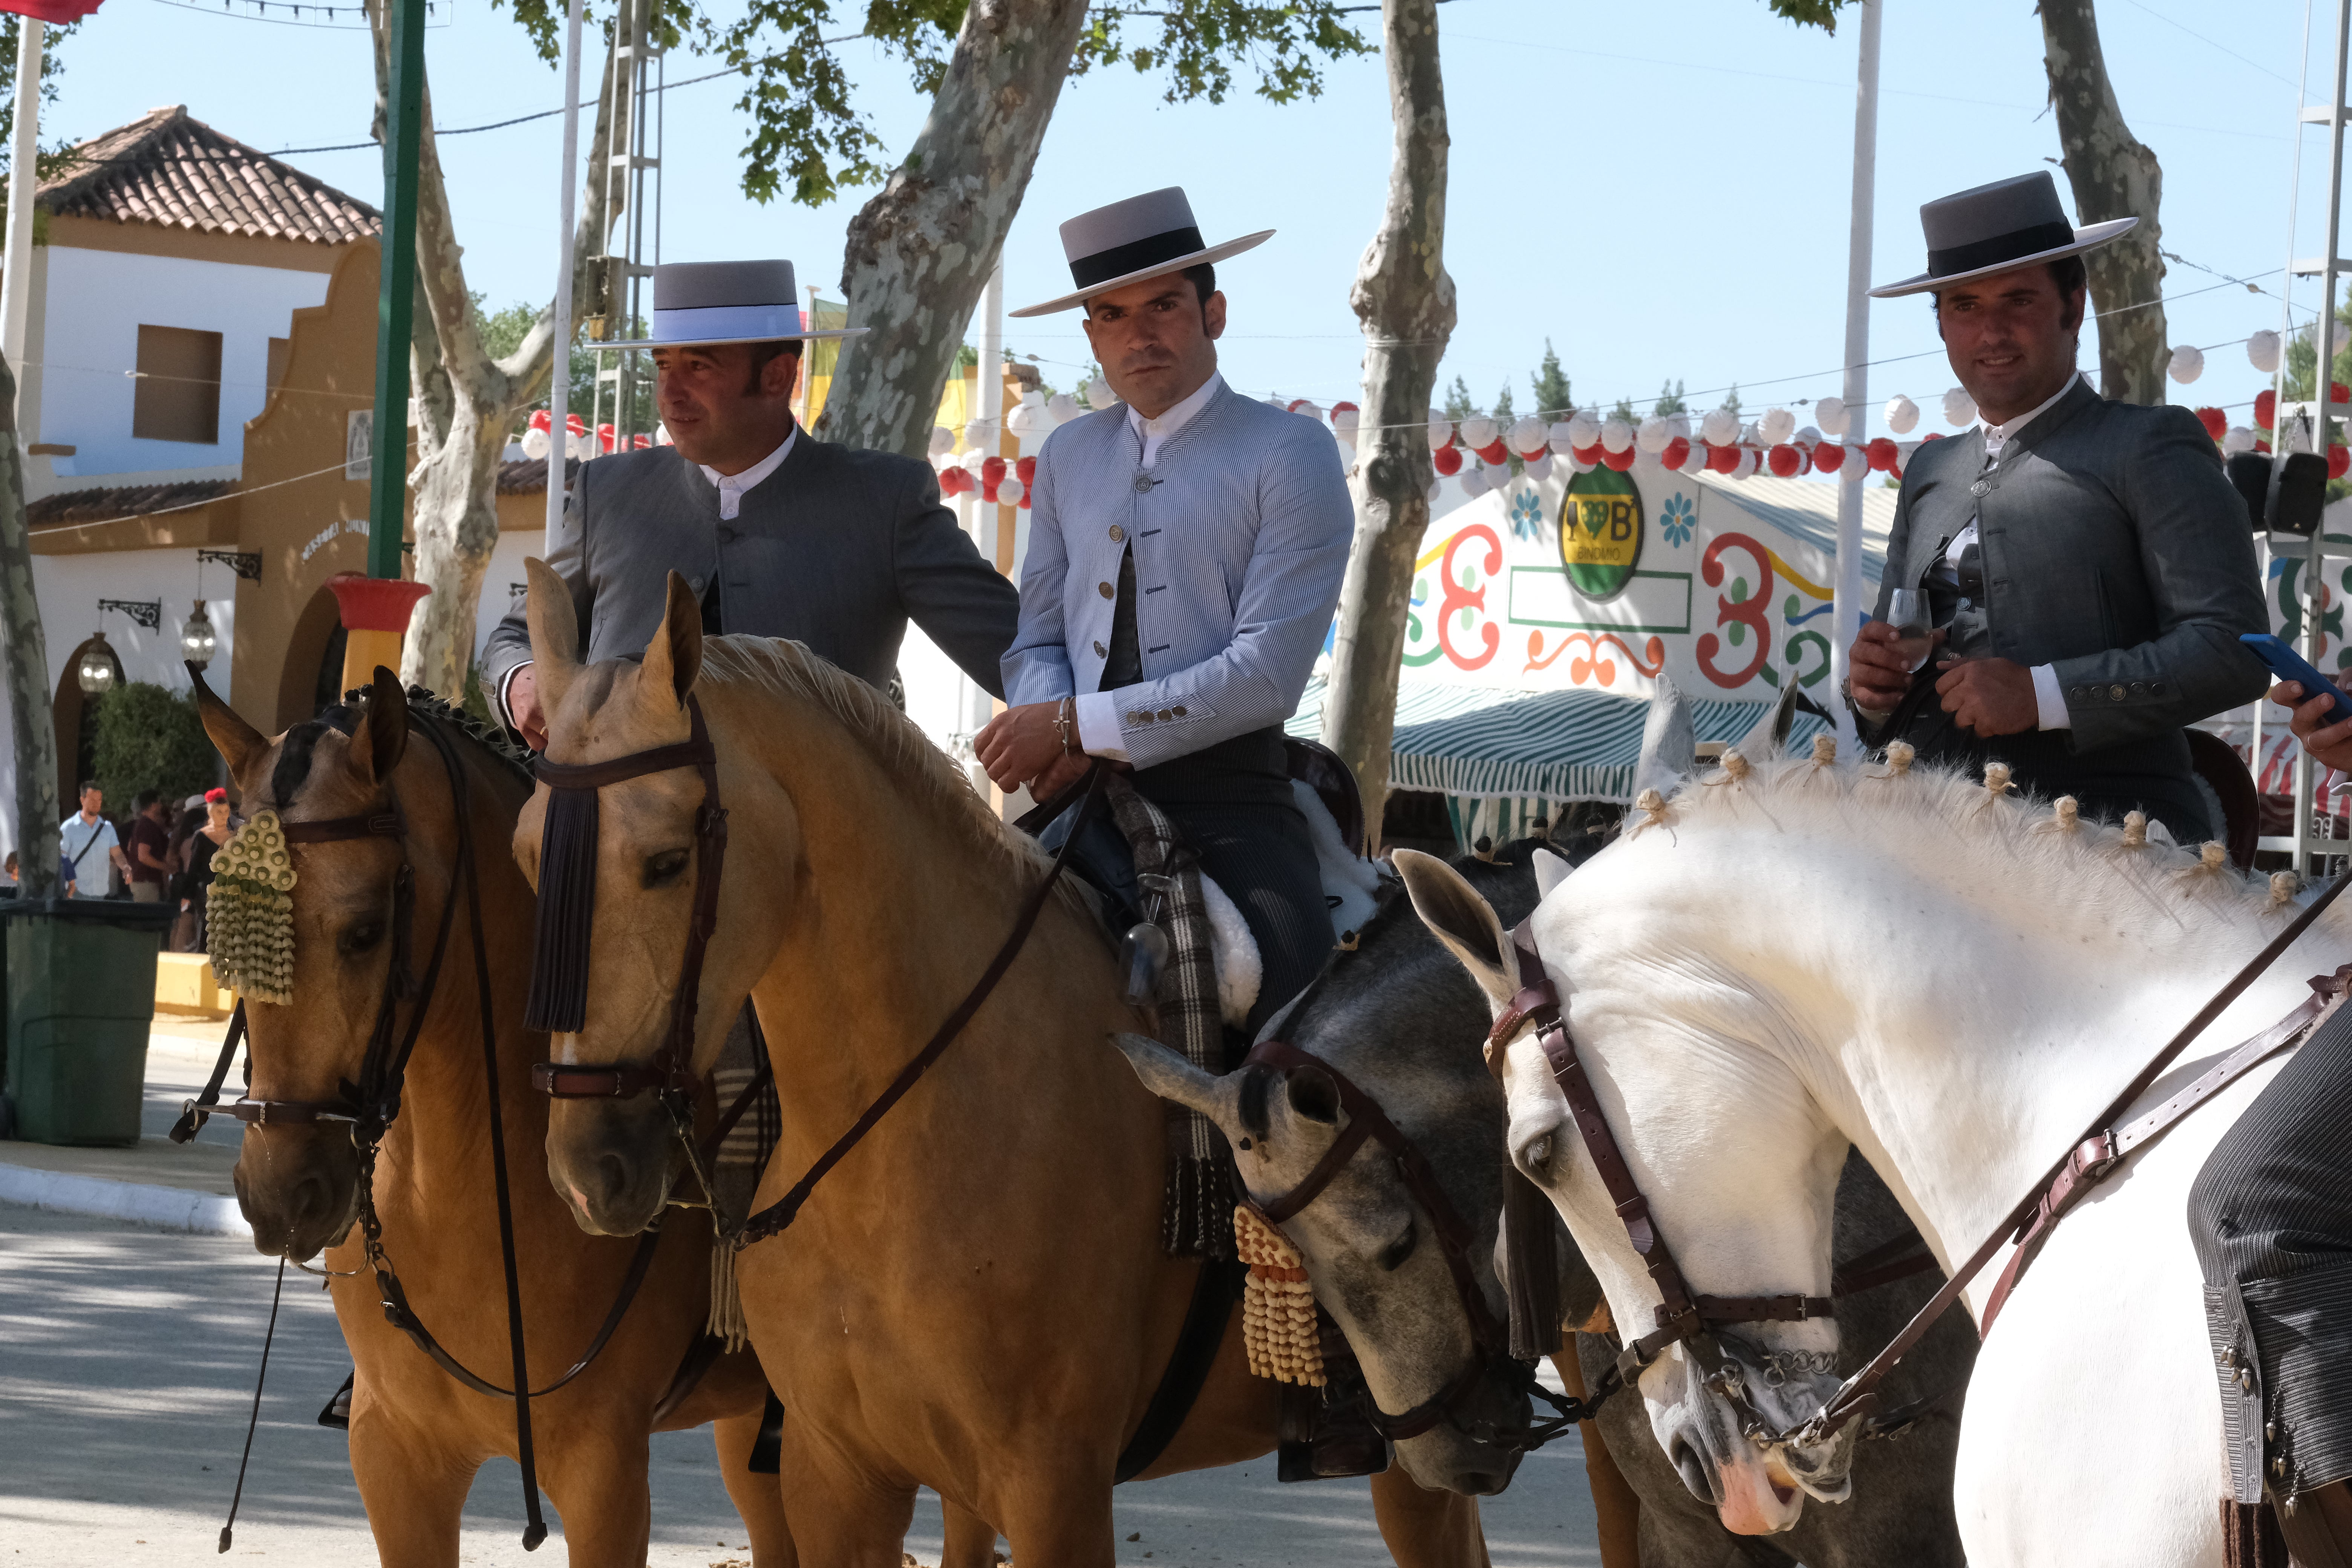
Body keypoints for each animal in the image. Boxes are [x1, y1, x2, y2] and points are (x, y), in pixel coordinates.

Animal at [524, 567, 1496, 1568]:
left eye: (666, 861)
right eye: (529, 857)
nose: (589, 1168)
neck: (897, 1150)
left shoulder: (1054, 1489)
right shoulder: (835, 1475)